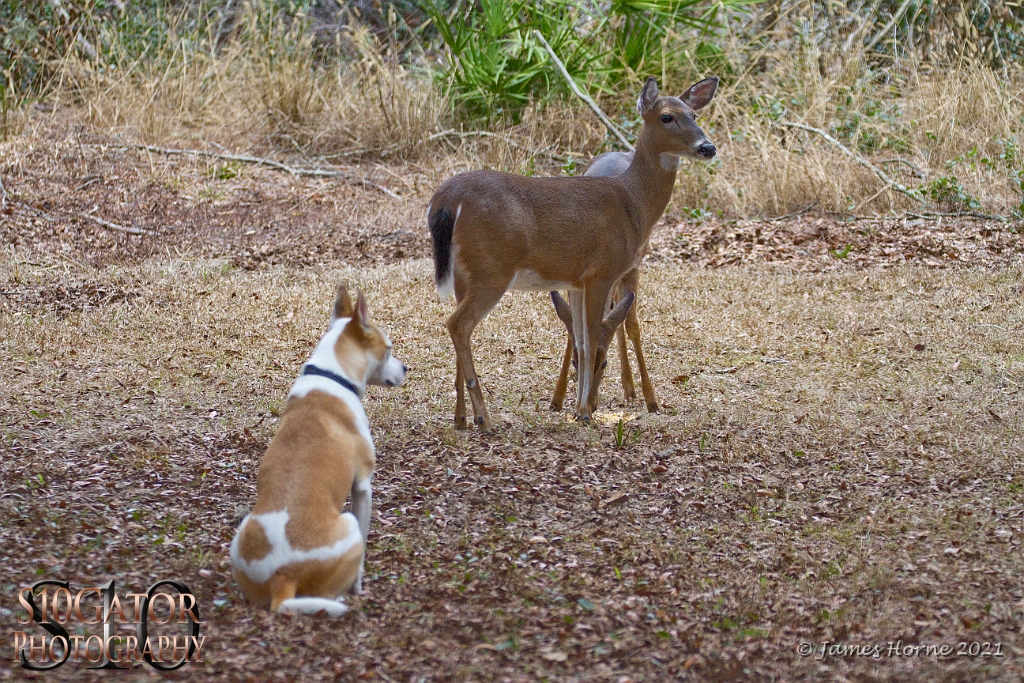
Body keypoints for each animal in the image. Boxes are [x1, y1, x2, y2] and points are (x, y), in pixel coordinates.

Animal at [230, 286, 405, 618]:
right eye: (389, 349)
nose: (406, 369)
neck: (330, 374)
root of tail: (282, 579)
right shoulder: (363, 486)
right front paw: (360, 584)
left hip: (243, 530)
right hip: (349, 527)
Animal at [552, 148, 663, 413]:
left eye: (604, 364)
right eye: (576, 362)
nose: (591, 404)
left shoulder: (631, 268)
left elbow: (633, 325)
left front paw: (651, 399)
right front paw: (557, 397)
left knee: (624, 317)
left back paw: (631, 388)